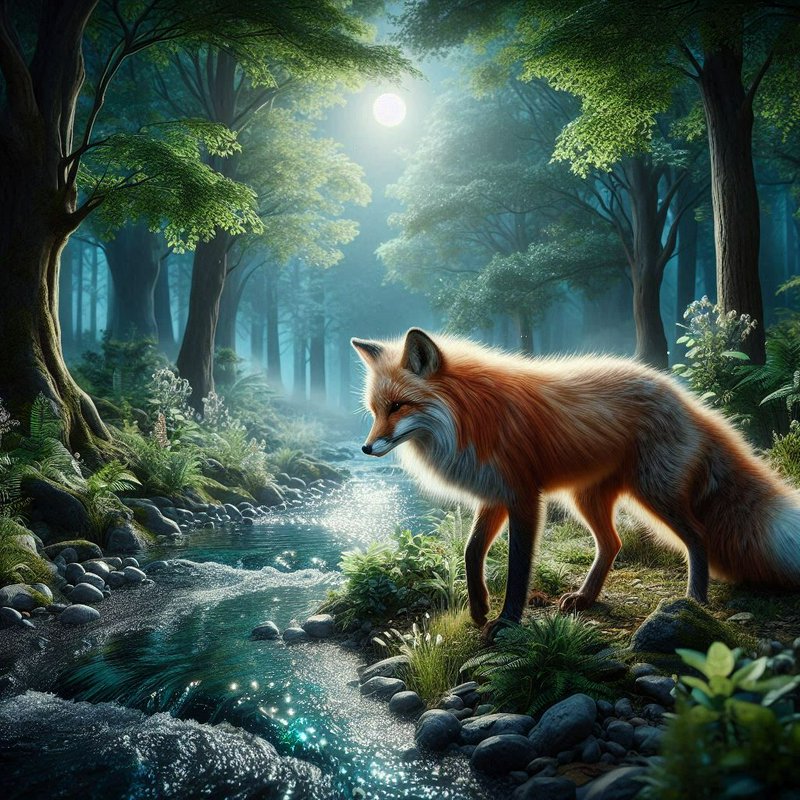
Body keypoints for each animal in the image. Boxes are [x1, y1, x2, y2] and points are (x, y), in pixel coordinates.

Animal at [351, 327, 800, 637]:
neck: (470, 415)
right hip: (586, 498)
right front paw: (478, 608)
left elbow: (518, 567)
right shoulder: (494, 495)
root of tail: (685, 399)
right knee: (613, 543)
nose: (366, 448)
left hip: (655, 494)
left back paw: (694, 603)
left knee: (698, 537)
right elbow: (471, 550)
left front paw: (507, 621)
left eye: (398, 406)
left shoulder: (524, 496)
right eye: (375, 410)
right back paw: (586, 598)